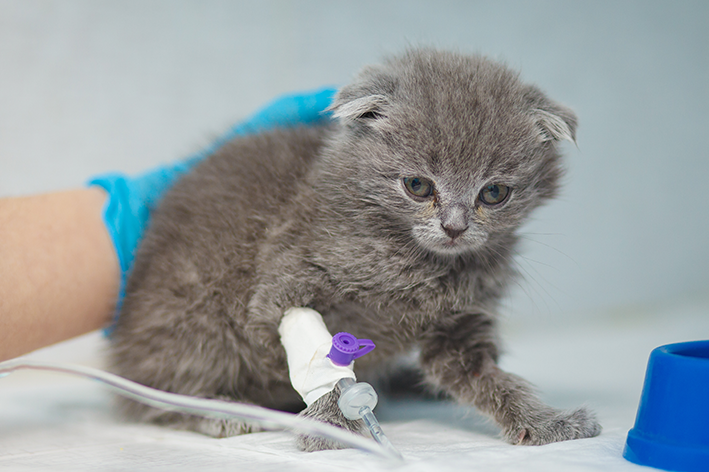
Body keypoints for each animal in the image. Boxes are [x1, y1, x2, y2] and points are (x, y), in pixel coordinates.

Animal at [113, 48, 600, 450]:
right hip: (194, 323)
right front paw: (332, 420)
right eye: (418, 186)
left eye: (494, 193)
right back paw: (216, 412)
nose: (454, 227)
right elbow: (320, 354)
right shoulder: (283, 282)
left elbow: (490, 378)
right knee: (148, 398)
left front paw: (545, 422)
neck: (418, 262)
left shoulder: (460, 327)